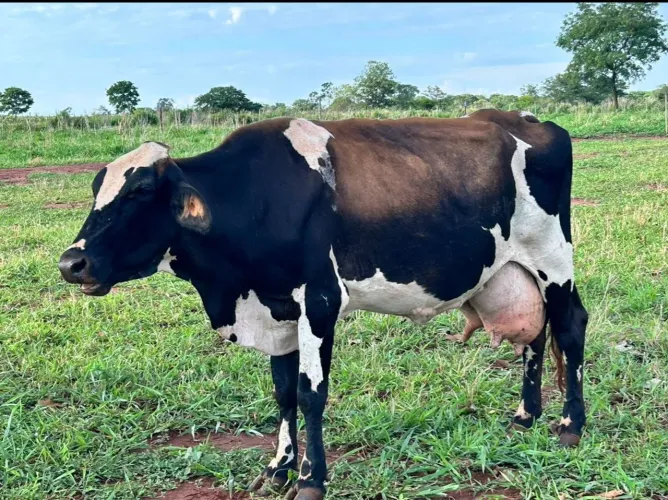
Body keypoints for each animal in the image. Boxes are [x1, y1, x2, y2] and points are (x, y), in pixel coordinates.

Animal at [58, 109, 588, 500]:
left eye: (141, 190)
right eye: (96, 188)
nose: (71, 263)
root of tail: (526, 118)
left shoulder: (320, 300)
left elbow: (311, 392)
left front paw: (312, 479)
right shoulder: (276, 309)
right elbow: (283, 392)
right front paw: (279, 468)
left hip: (553, 259)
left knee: (569, 327)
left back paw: (569, 426)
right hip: (515, 270)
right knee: (534, 335)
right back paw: (526, 415)